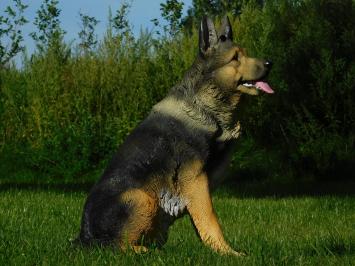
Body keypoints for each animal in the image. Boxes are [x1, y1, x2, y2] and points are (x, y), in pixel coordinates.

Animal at [76, 15, 274, 256]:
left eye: (245, 53)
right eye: (235, 58)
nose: (269, 64)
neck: (207, 106)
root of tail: (83, 236)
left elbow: (201, 222)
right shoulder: (195, 179)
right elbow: (211, 218)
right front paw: (229, 253)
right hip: (143, 199)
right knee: (116, 245)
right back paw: (150, 252)